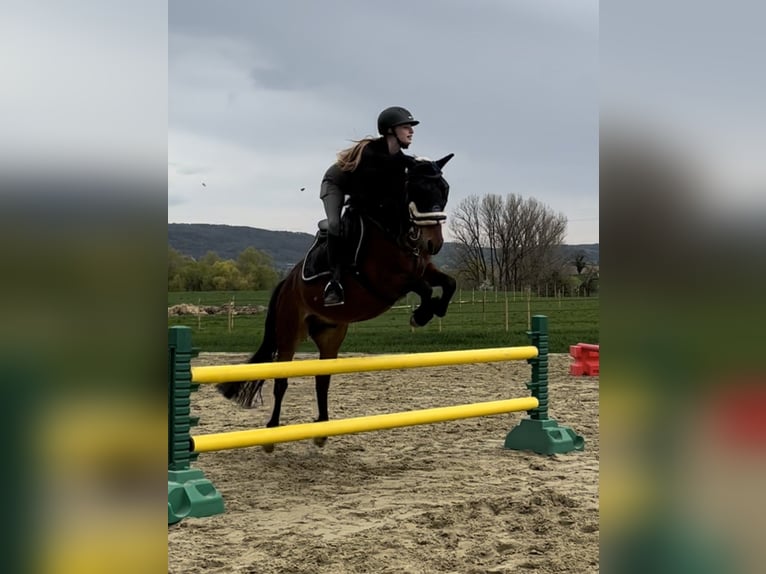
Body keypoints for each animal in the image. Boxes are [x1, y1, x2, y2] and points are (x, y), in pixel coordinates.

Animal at [218, 155, 456, 452]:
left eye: (444, 190)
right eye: (418, 190)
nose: (433, 243)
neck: (393, 229)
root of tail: (287, 283)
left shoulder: (423, 268)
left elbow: (449, 283)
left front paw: (437, 310)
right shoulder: (387, 282)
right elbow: (424, 288)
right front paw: (421, 315)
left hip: (330, 334)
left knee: (322, 379)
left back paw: (321, 430)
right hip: (289, 333)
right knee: (281, 380)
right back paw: (271, 434)